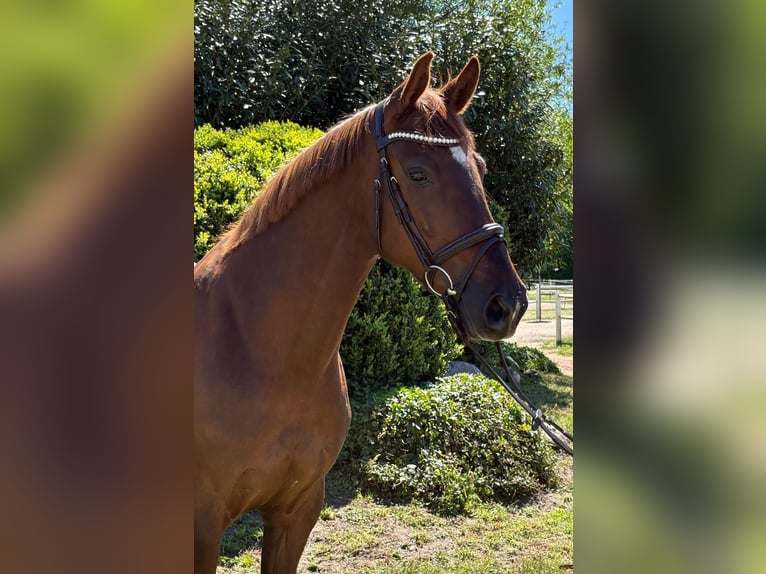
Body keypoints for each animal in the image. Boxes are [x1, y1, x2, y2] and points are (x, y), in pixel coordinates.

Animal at [194, 51, 528, 573]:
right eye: (418, 174)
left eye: (480, 166)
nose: (506, 305)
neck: (262, 353)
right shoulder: (203, 526)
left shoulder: (297, 510)